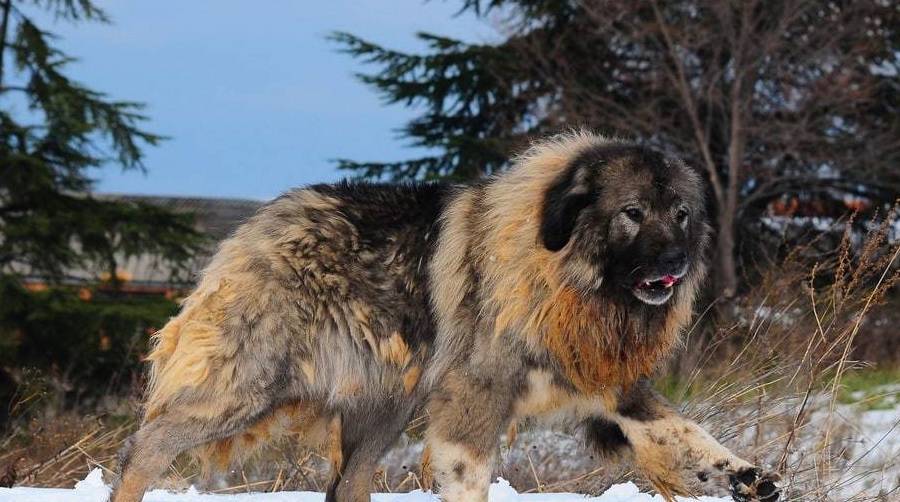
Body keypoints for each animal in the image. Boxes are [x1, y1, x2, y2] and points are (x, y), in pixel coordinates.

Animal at [112, 133, 776, 502]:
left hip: (384, 406)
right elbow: (470, 478)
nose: (677, 263)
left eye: (683, 213)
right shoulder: (474, 400)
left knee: (347, 485)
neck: (558, 270)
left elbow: (684, 434)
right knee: (145, 447)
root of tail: (257, 223)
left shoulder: (609, 384)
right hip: (243, 388)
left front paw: (743, 476)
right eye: (632, 213)